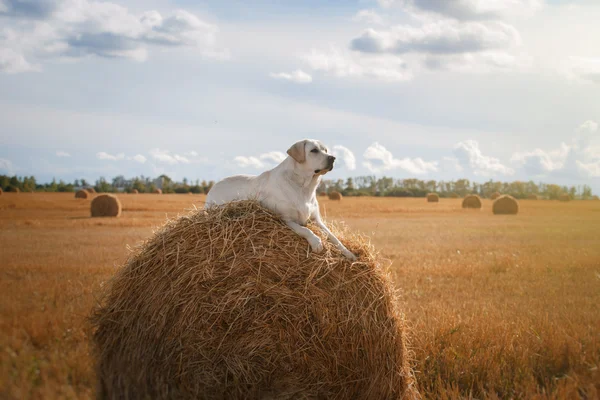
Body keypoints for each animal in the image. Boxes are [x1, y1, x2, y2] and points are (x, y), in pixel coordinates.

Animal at [206, 139, 356, 260]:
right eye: (314, 150)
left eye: (325, 150)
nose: (333, 158)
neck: (303, 187)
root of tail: (213, 186)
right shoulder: (286, 219)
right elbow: (305, 230)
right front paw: (316, 242)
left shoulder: (316, 220)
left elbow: (334, 237)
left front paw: (349, 253)